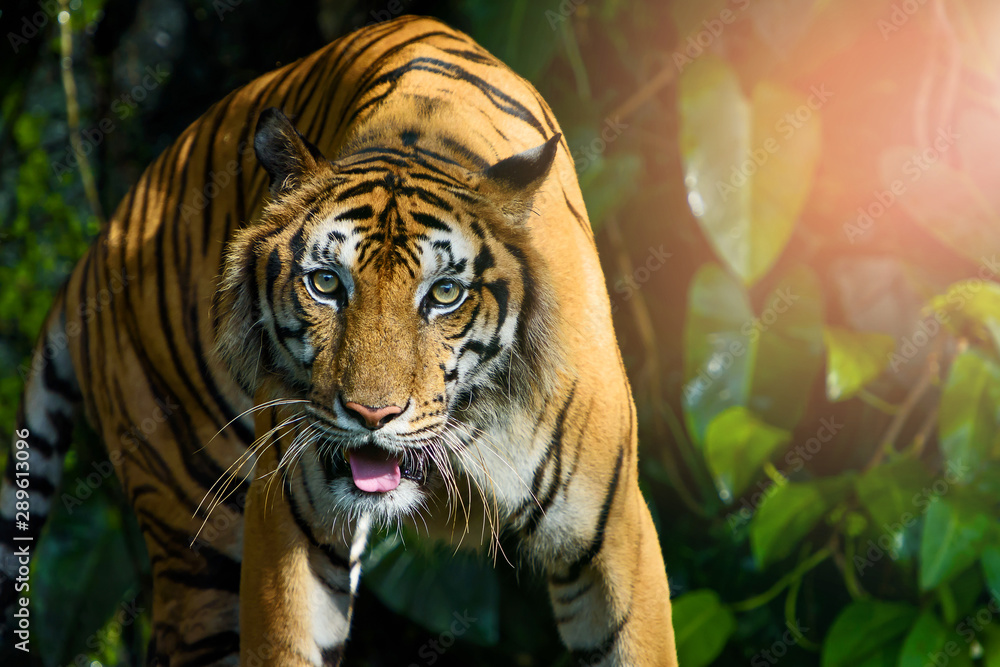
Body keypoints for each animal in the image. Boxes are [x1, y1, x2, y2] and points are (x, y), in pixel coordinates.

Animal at [1, 15, 676, 666]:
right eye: (326, 283)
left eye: (444, 293)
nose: (372, 415)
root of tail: (97, 244)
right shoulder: (287, 526)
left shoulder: (616, 533)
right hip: (195, 530)